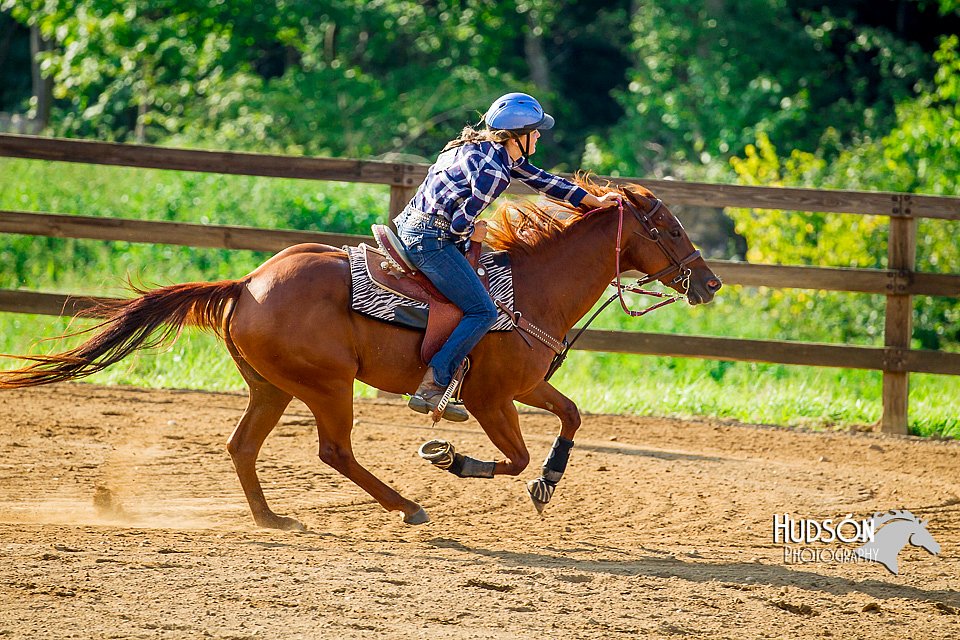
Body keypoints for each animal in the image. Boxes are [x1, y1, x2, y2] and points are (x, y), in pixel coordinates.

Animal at [0, 180, 720, 528]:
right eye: (669, 227)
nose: (710, 283)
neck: (529, 288)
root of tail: (248, 282)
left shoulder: (525, 385)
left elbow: (571, 417)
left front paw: (548, 482)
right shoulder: (491, 396)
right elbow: (510, 457)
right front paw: (452, 459)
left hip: (272, 386)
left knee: (242, 446)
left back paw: (271, 519)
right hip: (327, 385)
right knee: (334, 451)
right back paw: (407, 506)